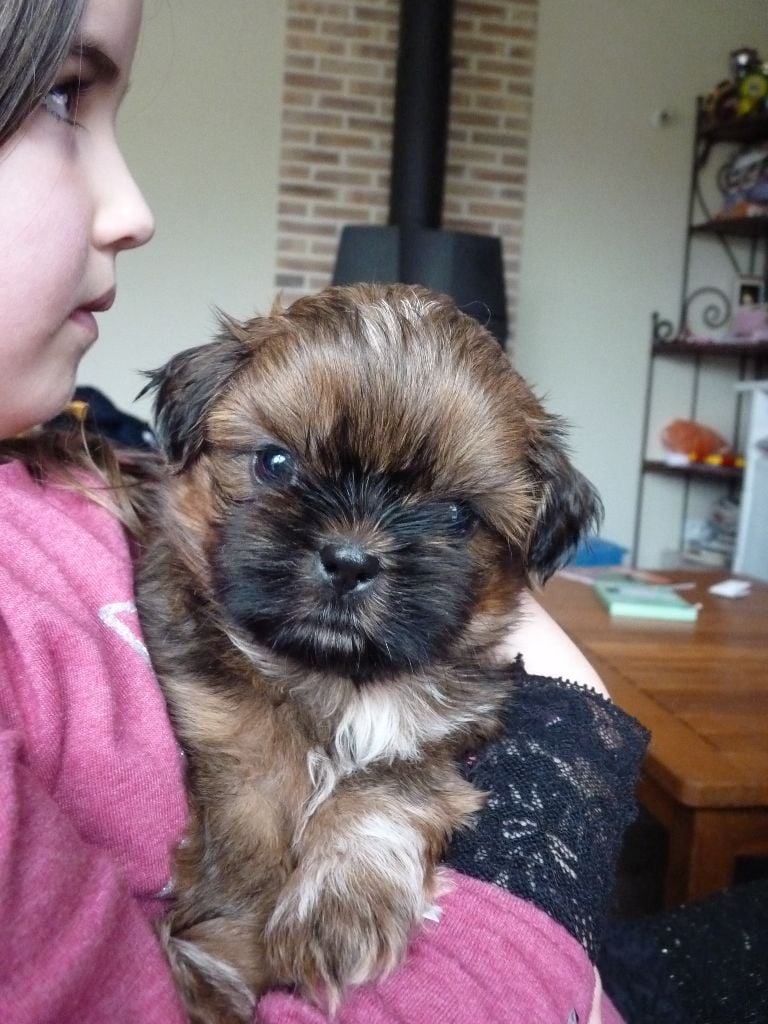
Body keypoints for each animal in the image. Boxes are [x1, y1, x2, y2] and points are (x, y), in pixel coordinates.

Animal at [136, 283, 601, 1023]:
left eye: (457, 516)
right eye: (275, 463)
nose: (351, 560)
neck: (339, 677)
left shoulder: (436, 737)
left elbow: (382, 791)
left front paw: (341, 909)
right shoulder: (225, 728)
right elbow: (253, 825)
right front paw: (226, 952)